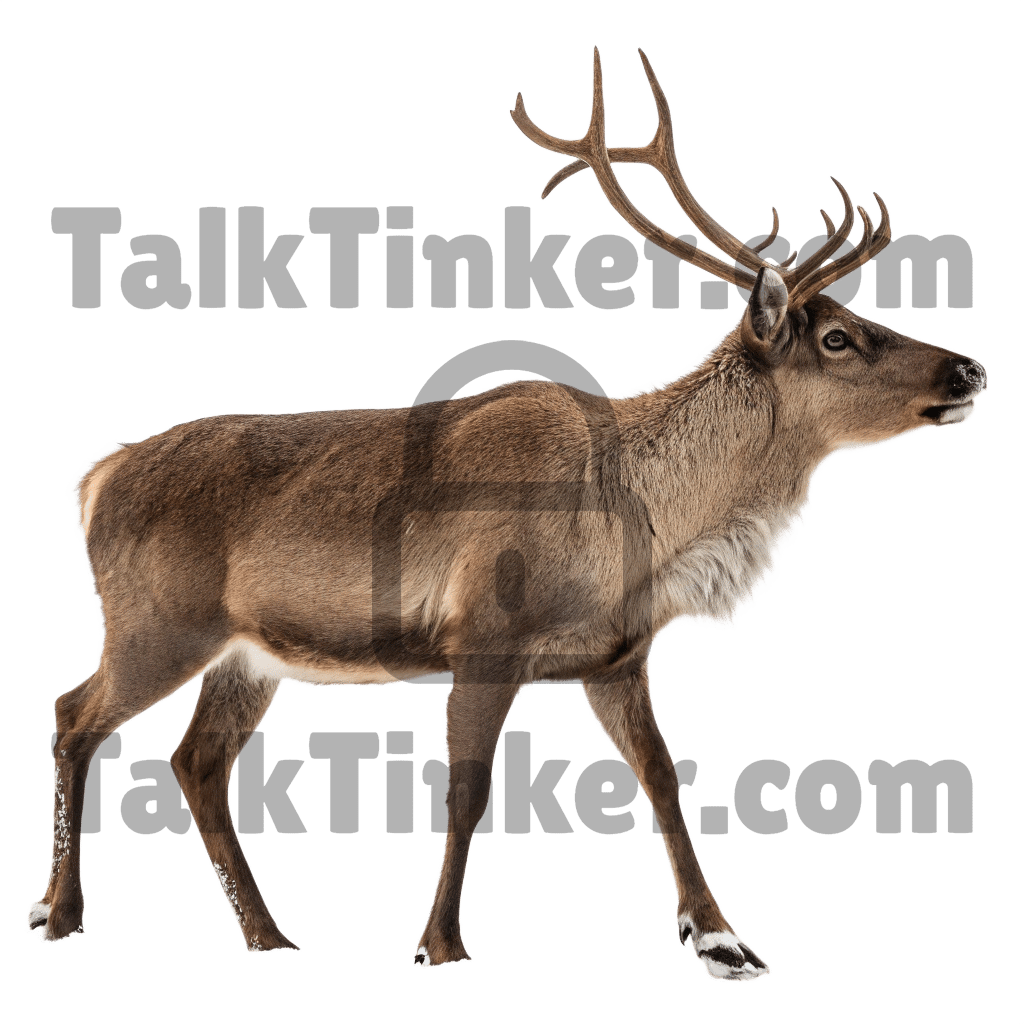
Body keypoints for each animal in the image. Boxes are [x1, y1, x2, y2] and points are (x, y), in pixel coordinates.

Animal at [26, 45, 986, 984]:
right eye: (837, 339)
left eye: (854, 315)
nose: (970, 369)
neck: (645, 531)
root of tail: (94, 478)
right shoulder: (482, 638)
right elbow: (469, 788)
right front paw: (439, 944)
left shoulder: (616, 657)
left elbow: (661, 776)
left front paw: (722, 941)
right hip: (158, 622)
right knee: (76, 714)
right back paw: (57, 913)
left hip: (246, 654)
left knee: (196, 761)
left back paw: (268, 937)